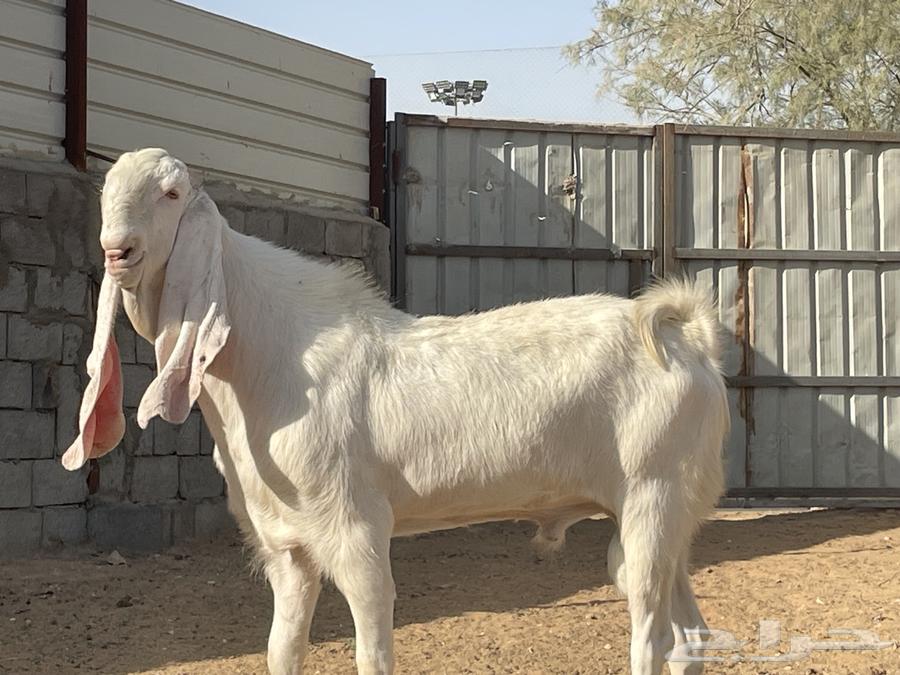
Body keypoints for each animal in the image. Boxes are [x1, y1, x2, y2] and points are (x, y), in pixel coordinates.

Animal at [63, 148, 729, 675]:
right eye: (106, 191)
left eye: (171, 193)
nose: (117, 251)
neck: (272, 353)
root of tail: (687, 338)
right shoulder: (286, 547)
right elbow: (283, 650)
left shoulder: (355, 527)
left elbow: (372, 646)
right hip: (669, 518)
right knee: (690, 638)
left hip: (652, 497)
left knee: (651, 639)